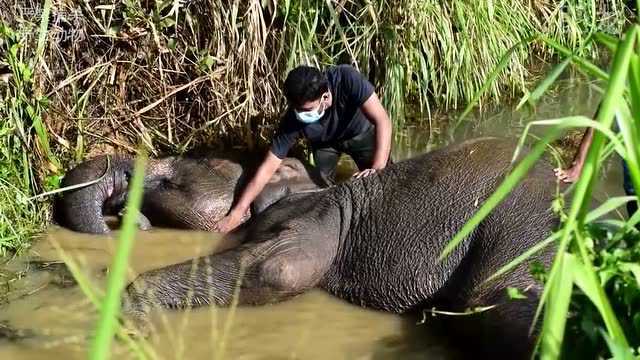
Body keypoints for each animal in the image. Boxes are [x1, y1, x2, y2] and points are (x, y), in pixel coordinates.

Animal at [122, 137, 564, 358]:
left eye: (202, 161)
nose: (126, 168)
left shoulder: (317, 216)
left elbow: (281, 270)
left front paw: (129, 309)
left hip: (520, 234)